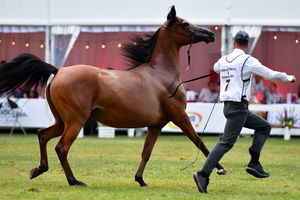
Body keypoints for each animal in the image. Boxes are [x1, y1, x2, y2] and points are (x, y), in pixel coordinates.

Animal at [0, 6, 226, 188]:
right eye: (185, 23)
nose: (209, 34)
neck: (160, 74)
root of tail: (59, 70)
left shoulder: (156, 125)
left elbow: (146, 152)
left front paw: (140, 180)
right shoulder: (180, 117)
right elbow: (200, 142)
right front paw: (221, 169)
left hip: (61, 121)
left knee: (42, 135)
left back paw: (39, 169)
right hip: (75, 121)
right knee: (61, 147)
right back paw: (74, 181)